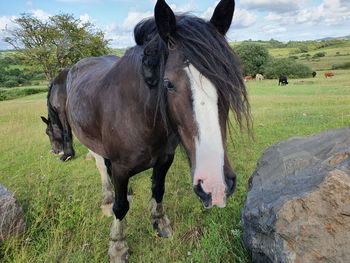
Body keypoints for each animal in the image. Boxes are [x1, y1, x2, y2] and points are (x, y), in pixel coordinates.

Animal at [65, 0, 250, 262]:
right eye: (168, 84)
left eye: (228, 80)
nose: (216, 184)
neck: (138, 113)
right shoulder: (121, 167)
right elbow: (121, 207)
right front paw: (118, 245)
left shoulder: (164, 158)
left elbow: (158, 189)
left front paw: (159, 222)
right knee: (103, 169)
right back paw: (107, 197)